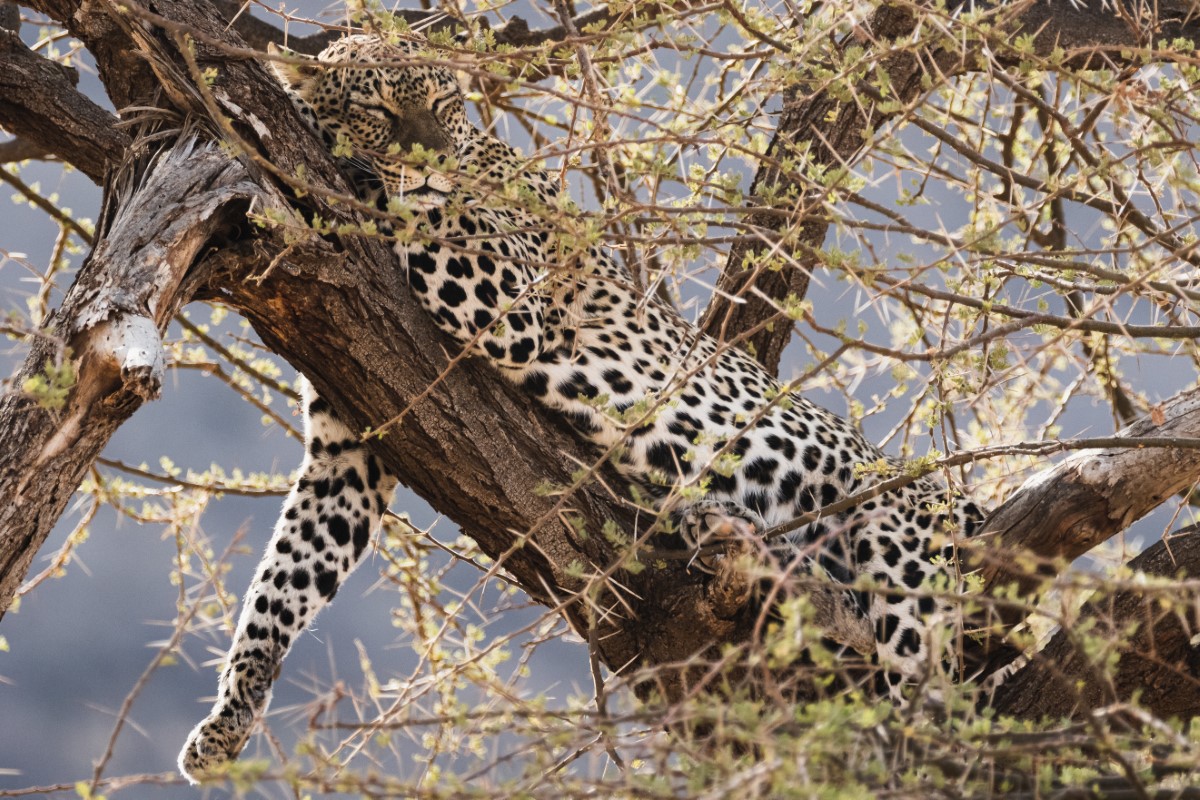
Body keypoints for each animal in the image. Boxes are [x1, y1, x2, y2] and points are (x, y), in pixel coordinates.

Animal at [177, 34, 984, 786]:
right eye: (378, 111)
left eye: (443, 106)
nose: (432, 165)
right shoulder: (350, 447)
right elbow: (285, 581)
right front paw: (227, 720)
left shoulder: (507, 299)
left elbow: (392, 207)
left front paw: (280, 140)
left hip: (907, 562)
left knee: (933, 704)